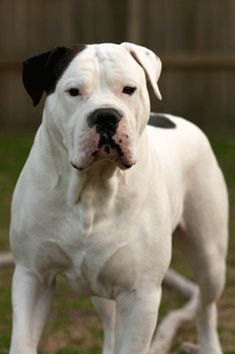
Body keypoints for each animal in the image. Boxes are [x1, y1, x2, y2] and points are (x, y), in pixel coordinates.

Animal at [9, 43, 228, 354]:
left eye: (128, 89)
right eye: (73, 91)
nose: (106, 116)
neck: (92, 188)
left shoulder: (141, 295)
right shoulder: (32, 276)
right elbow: (23, 342)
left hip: (210, 257)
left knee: (206, 306)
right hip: (102, 287)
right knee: (111, 325)